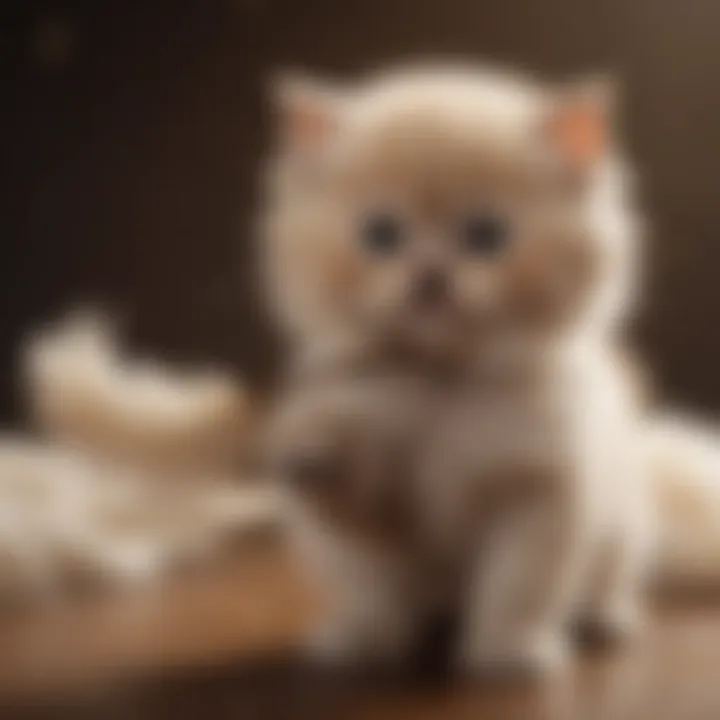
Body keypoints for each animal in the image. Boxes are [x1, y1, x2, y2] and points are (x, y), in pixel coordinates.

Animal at [262, 63, 652, 676]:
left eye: (486, 235)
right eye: (381, 233)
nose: (430, 273)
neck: (442, 385)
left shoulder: (541, 495)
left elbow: (520, 585)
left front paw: (510, 653)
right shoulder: (366, 520)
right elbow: (368, 583)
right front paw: (363, 644)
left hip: (625, 529)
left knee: (611, 579)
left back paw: (606, 619)